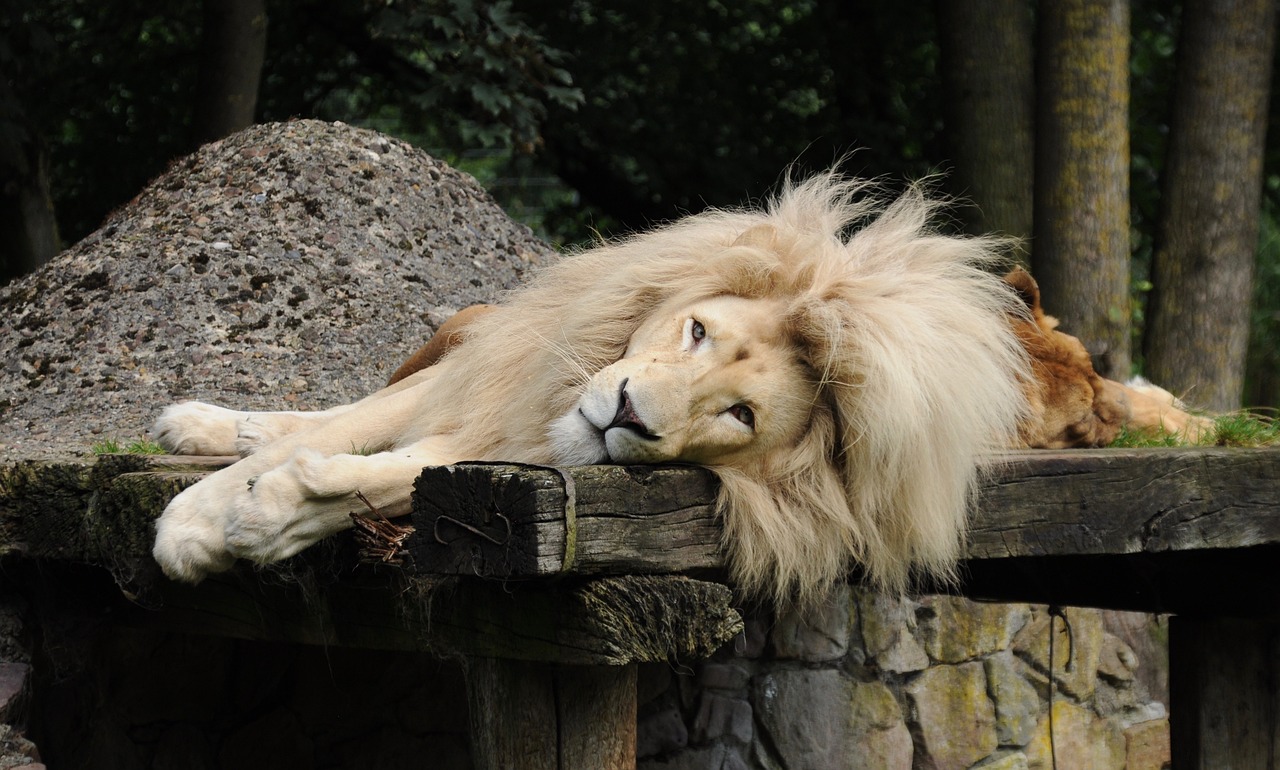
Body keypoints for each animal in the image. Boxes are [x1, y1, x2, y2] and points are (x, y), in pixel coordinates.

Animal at [149, 175, 1029, 611]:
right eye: (698, 332)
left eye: (739, 415)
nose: (630, 415)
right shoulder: (484, 382)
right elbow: (330, 434)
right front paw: (195, 519)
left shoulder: (493, 448)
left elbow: (384, 479)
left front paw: (263, 515)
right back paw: (205, 424)